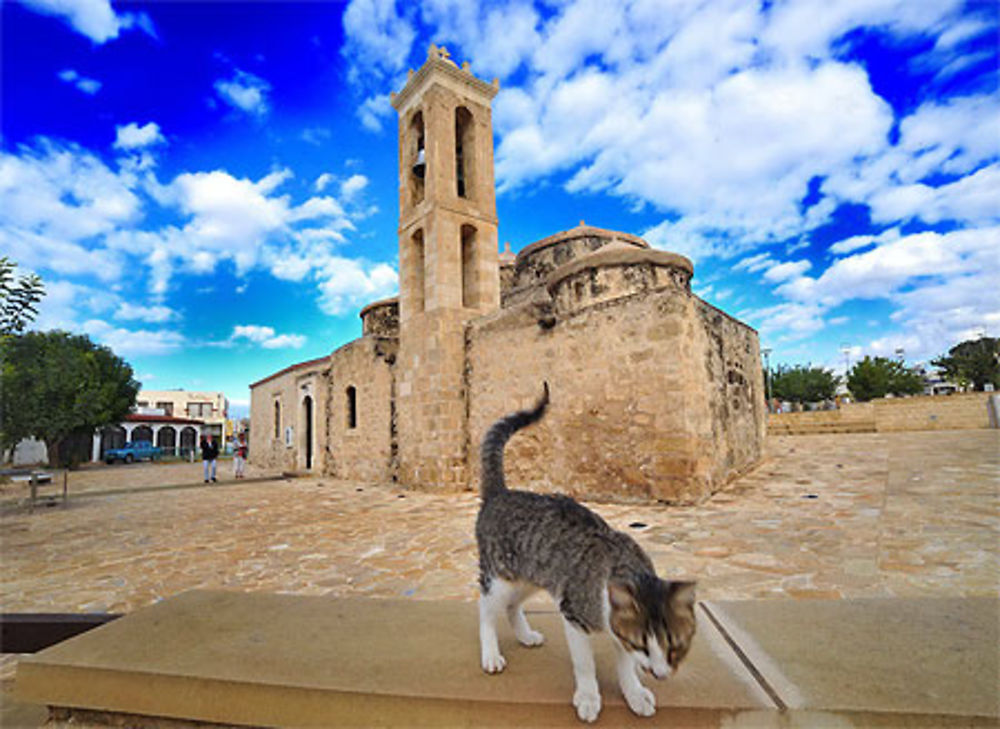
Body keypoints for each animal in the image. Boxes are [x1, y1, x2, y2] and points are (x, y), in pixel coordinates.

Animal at [476, 384, 696, 720]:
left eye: (674, 647)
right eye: (643, 645)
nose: (659, 674)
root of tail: (500, 493)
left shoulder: (612, 623)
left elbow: (624, 664)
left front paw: (634, 692)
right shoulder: (573, 613)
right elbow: (584, 664)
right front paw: (589, 697)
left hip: (535, 575)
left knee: (512, 604)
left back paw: (525, 636)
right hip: (500, 576)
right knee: (487, 608)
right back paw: (490, 654)